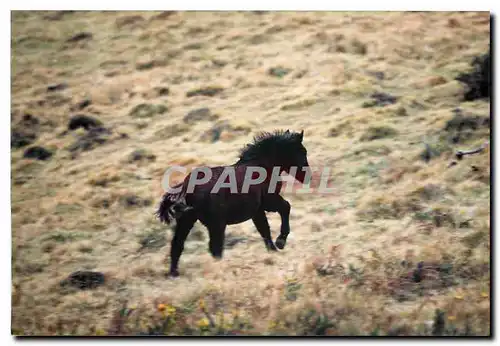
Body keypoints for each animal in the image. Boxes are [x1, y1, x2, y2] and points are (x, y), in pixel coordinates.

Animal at [156, 129, 310, 276]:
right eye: (302, 151)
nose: (307, 177)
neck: (261, 167)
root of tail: (186, 186)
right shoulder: (269, 202)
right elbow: (285, 207)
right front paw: (280, 242)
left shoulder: (257, 211)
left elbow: (264, 229)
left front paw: (273, 251)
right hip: (216, 224)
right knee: (215, 248)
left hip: (187, 220)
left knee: (178, 245)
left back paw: (174, 273)